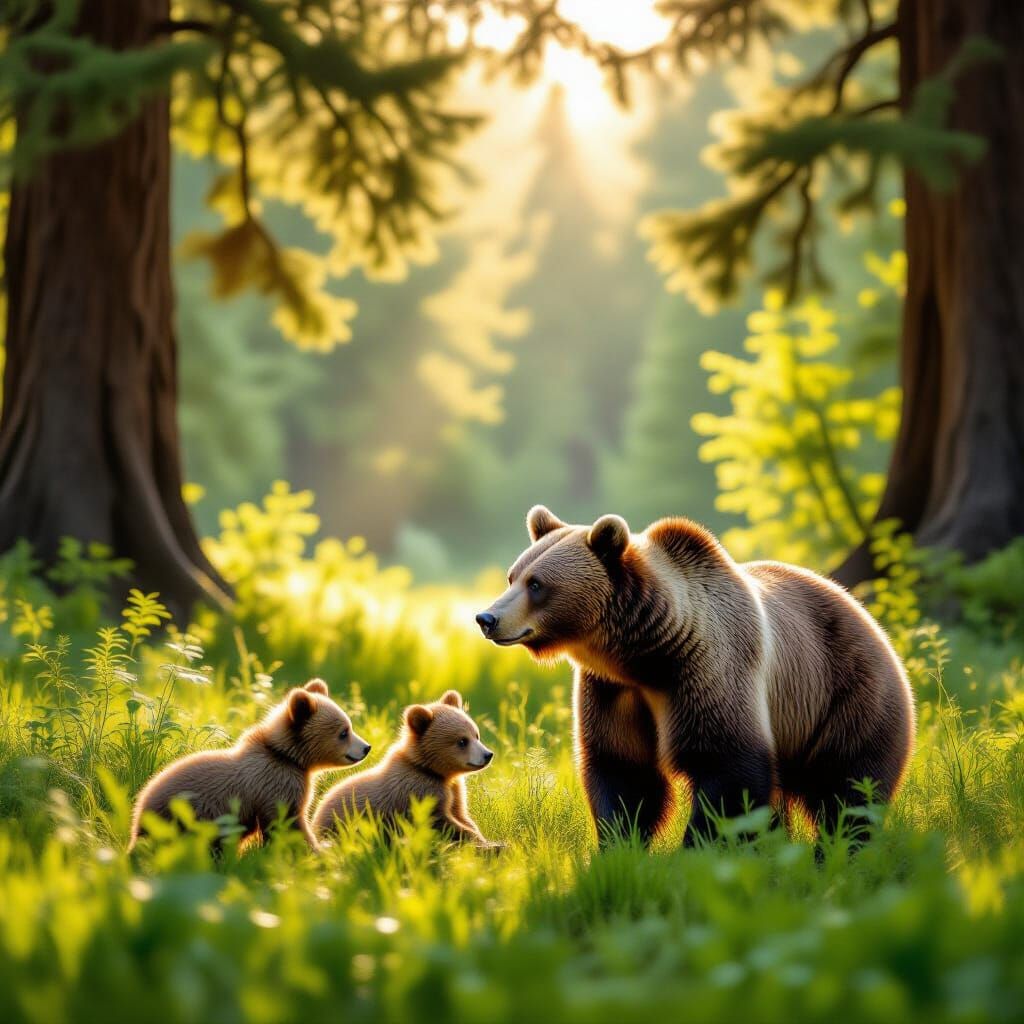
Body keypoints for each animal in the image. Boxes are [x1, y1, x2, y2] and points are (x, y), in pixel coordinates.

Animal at [129, 679, 370, 852]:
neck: (287, 757)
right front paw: (317, 851)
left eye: (349, 726)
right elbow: (288, 823)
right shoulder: (276, 785)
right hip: (186, 817)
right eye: (343, 732)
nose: (366, 748)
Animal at [311, 690, 500, 848]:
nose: (488, 754)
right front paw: (482, 842)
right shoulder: (418, 790)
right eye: (462, 741)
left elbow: (462, 814)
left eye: (476, 735)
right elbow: (440, 820)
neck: (434, 771)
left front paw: (484, 838)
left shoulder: (453, 790)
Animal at [476, 506, 915, 849]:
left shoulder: (708, 670)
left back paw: (838, 851)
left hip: (845, 694)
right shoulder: (613, 692)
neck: (643, 657)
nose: (487, 618)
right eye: (513, 576)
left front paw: (693, 852)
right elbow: (624, 773)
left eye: (537, 584)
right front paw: (619, 848)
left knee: (850, 790)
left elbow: (728, 771)